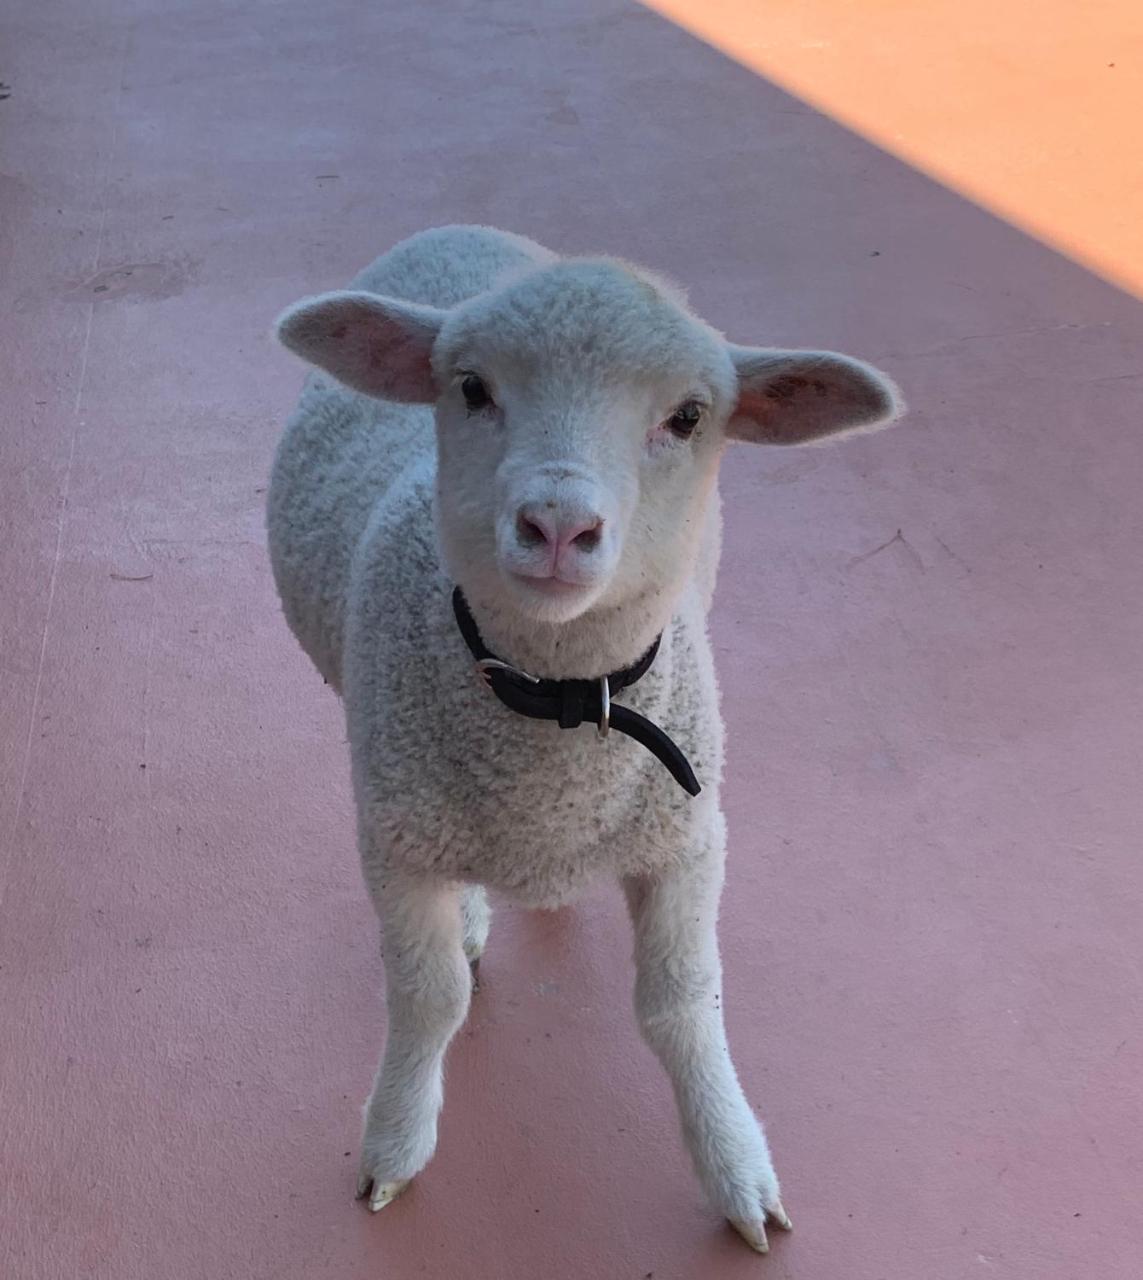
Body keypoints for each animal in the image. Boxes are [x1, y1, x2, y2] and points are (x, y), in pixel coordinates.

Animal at [267, 225, 901, 1254]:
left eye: (688, 416)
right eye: (470, 387)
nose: (558, 524)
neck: (555, 715)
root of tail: (457, 230)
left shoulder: (688, 835)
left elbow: (683, 1001)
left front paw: (733, 1164)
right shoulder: (395, 840)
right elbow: (428, 996)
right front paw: (395, 1141)